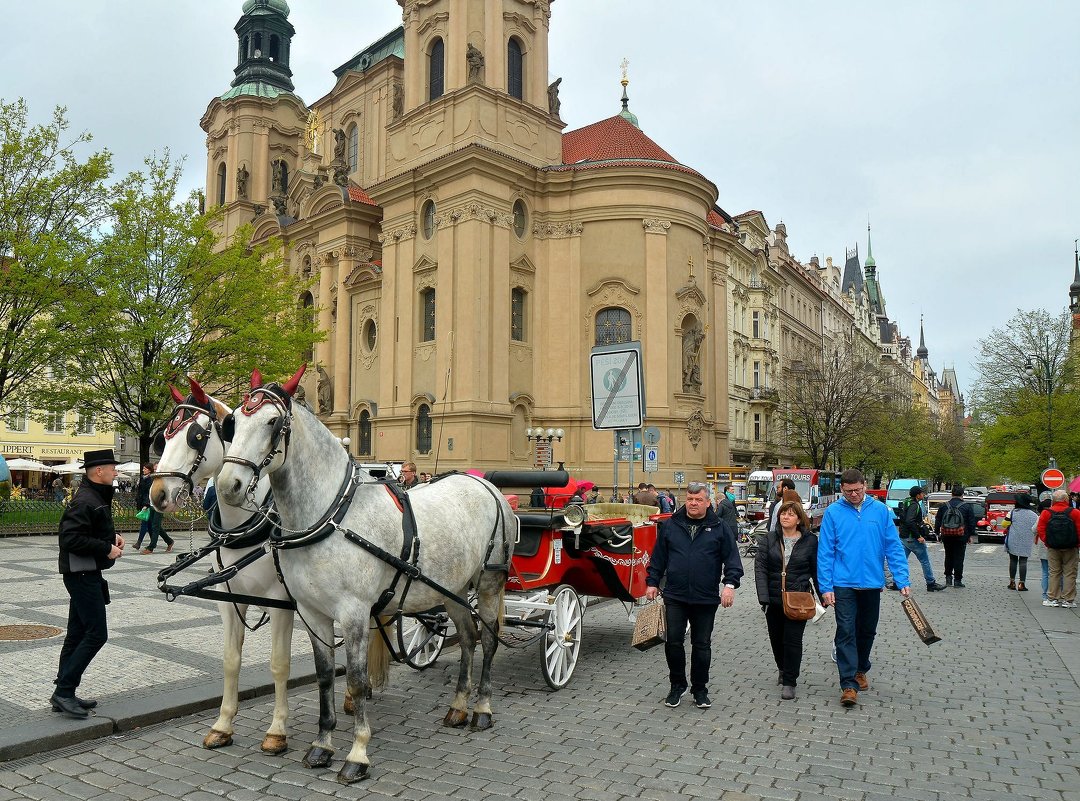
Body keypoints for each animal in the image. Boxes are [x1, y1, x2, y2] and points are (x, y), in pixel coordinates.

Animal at [150, 379, 295, 755]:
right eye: (163, 437)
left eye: (197, 436)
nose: (156, 494)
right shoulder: (229, 600)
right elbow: (231, 660)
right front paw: (223, 725)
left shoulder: (282, 603)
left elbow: (279, 664)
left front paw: (277, 730)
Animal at [217, 369, 516, 785]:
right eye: (231, 424)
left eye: (273, 422)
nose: (228, 486)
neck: (331, 515)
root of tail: (485, 484)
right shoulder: (312, 613)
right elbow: (326, 676)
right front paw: (322, 745)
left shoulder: (355, 614)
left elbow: (357, 681)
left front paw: (357, 753)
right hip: (451, 590)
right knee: (469, 639)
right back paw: (458, 706)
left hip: (488, 584)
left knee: (488, 640)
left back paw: (482, 709)